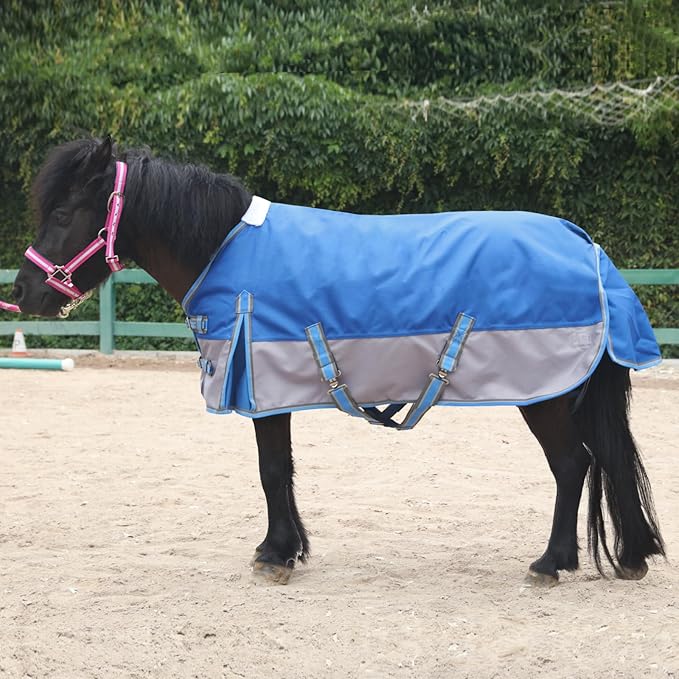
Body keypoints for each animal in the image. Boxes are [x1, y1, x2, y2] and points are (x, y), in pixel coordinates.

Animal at [9, 136, 665, 586]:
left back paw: (551, 562)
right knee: (597, 462)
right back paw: (621, 557)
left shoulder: (262, 390)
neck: (223, 248)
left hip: (545, 396)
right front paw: (284, 549)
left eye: (63, 215)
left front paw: (275, 555)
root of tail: (587, 247)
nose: (22, 292)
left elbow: (272, 471)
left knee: (572, 465)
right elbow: (282, 471)